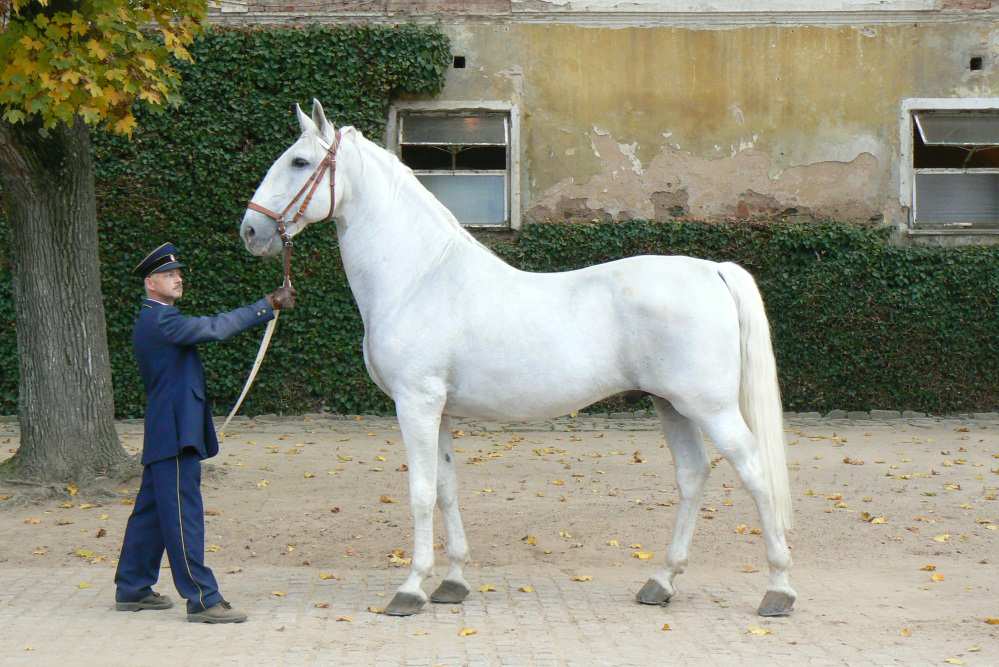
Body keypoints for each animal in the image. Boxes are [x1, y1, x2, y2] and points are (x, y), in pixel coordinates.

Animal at [242, 100, 796, 620]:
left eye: (299, 161)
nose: (250, 231)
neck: (420, 276)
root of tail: (712, 270)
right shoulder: (438, 410)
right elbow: (445, 487)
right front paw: (452, 582)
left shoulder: (415, 404)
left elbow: (420, 491)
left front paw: (411, 588)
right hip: (671, 405)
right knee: (692, 475)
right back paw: (661, 582)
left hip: (710, 408)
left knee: (755, 472)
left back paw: (778, 589)